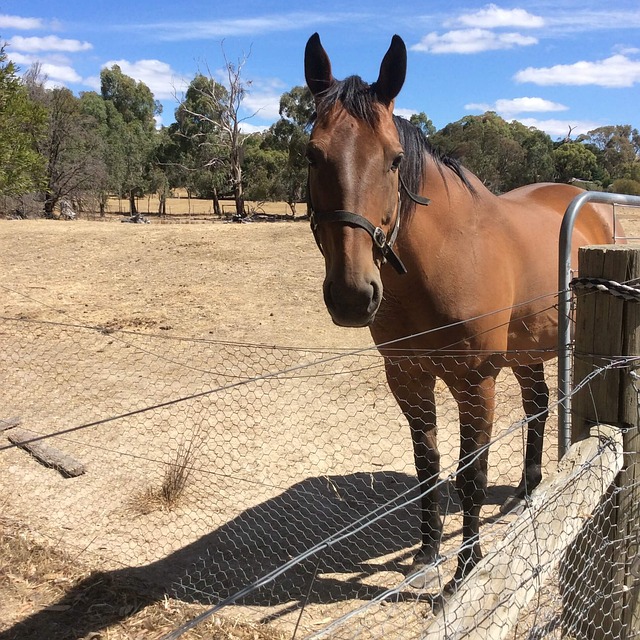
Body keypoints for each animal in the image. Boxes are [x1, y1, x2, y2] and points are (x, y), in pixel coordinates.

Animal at [304, 31, 620, 592]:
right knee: (538, 405)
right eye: (312, 154)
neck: (442, 262)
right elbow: (428, 465)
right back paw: (528, 489)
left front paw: (466, 568)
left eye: (393, 159)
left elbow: (471, 473)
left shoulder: (476, 381)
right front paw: (428, 554)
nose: (352, 294)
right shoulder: (407, 376)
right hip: (526, 351)